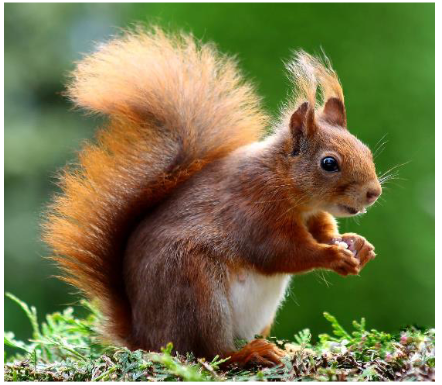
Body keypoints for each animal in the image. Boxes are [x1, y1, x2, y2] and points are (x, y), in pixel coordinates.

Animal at [43, 27, 382, 366]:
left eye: (365, 150)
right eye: (329, 163)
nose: (374, 193)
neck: (285, 185)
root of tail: (144, 337)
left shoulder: (312, 214)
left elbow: (323, 231)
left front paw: (357, 245)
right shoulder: (254, 211)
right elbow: (281, 252)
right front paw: (333, 256)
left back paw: (286, 348)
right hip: (197, 292)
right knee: (209, 352)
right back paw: (249, 353)